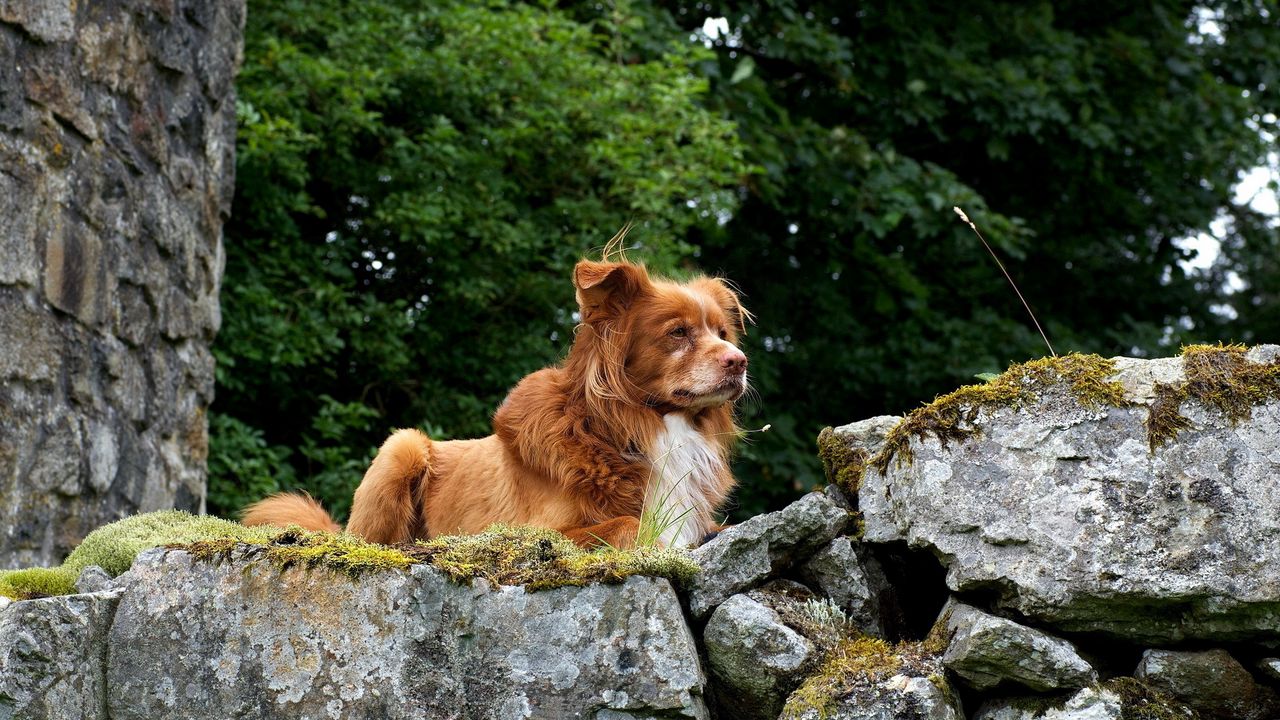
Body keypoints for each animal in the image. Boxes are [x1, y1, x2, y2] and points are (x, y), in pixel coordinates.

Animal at [241, 254, 747, 545]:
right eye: (678, 333)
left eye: (722, 333)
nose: (739, 362)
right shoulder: (531, 529)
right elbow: (628, 525)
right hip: (401, 446)